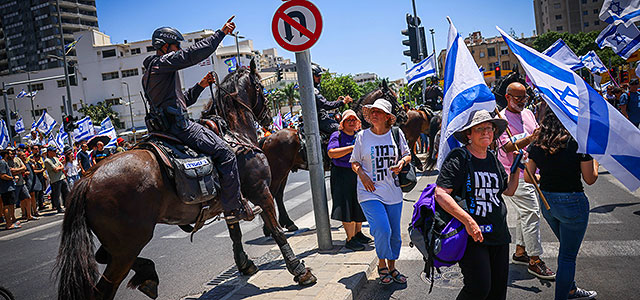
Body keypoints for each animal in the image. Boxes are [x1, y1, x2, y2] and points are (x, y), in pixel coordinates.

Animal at [55, 61, 318, 300]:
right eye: (262, 88)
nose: (267, 118)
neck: (235, 134)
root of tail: (88, 178)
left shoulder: (231, 202)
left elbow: (235, 233)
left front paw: (244, 264)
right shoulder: (261, 192)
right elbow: (276, 231)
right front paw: (299, 270)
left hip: (120, 244)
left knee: (102, 256)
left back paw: (148, 274)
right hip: (128, 245)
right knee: (104, 287)